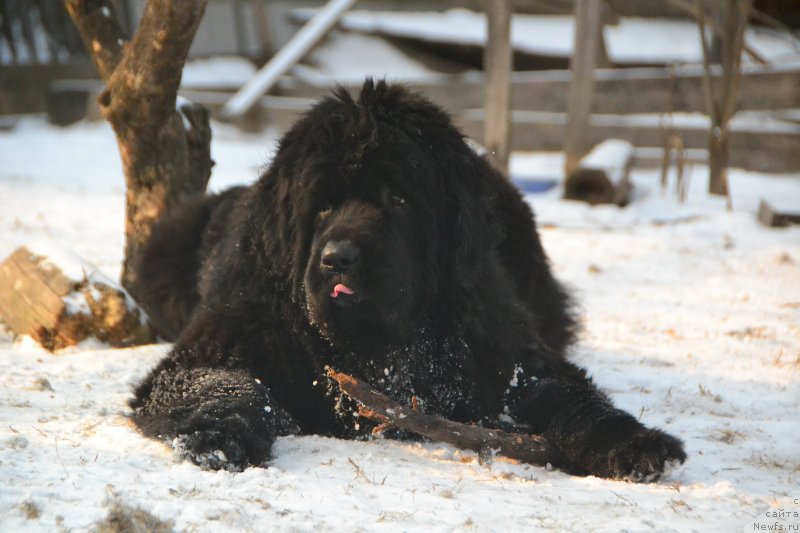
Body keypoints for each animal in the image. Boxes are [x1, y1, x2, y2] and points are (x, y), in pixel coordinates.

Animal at [130, 80, 680, 482]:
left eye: (397, 200)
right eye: (322, 205)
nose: (338, 259)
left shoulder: (506, 353)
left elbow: (568, 394)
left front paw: (633, 442)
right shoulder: (217, 340)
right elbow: (223, 382)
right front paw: (221, 437)